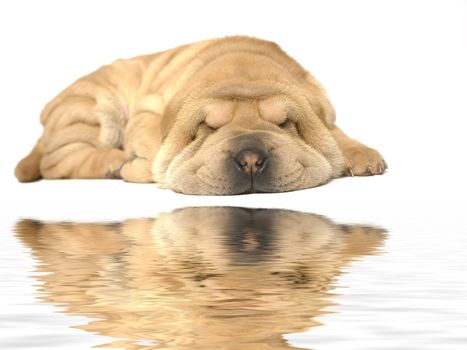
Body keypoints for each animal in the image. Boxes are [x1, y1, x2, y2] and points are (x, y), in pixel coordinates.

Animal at [14, 36, 388, 194]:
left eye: (284, 123)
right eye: (207, 126)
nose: (250, 158)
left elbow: (335, 133)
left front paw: (362, 155)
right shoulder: (148, 112)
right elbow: (156, 149)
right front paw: (142, 166)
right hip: (95, 108)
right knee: (57, 161)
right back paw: (113, 163)